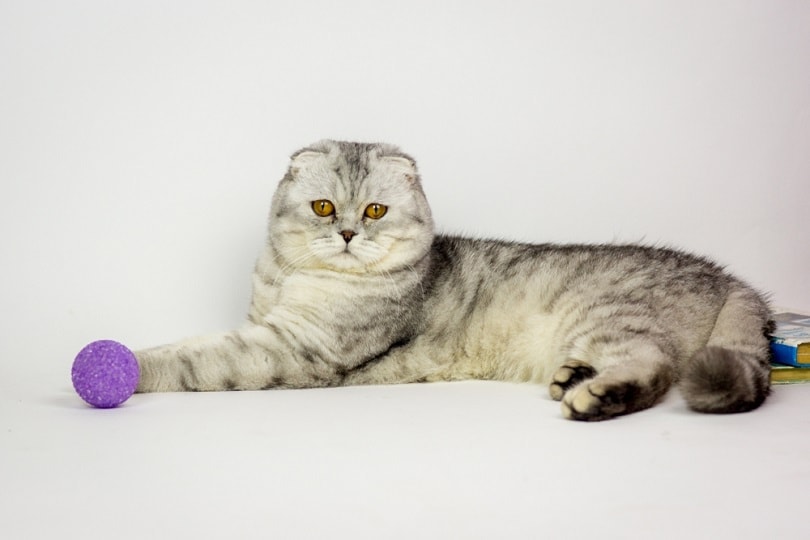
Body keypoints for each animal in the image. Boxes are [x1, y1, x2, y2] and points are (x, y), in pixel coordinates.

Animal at [134, 139, 772, 422]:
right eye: (322, 208)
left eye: (374, 211)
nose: (348, 234)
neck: (292, 280)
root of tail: (729, 278)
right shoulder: (266, 324)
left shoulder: (294, 346)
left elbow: (190, 358)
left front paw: (125, 363)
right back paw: (573, 377)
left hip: (612, 318)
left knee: (656, 369)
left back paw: (593, 397)